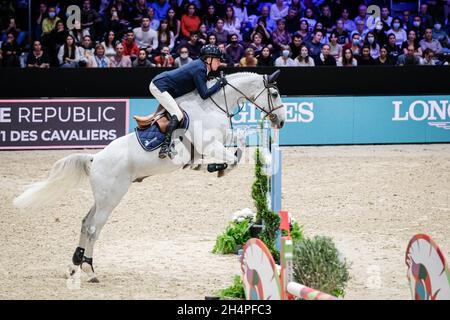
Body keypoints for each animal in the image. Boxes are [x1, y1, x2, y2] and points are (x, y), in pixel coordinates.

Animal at [14, 70, 288, 282]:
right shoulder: (211, 144)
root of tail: (95, 159)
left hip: (102, 198)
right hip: (112, 198)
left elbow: (239, 141)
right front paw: (216, 168)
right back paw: (90, 270)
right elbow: (233, 157)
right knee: (93, 228)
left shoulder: (222, 139)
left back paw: (75, 265)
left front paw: (214, 167)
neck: (213, 104)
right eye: (274, 94)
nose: (282, 121)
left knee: (85, 222)